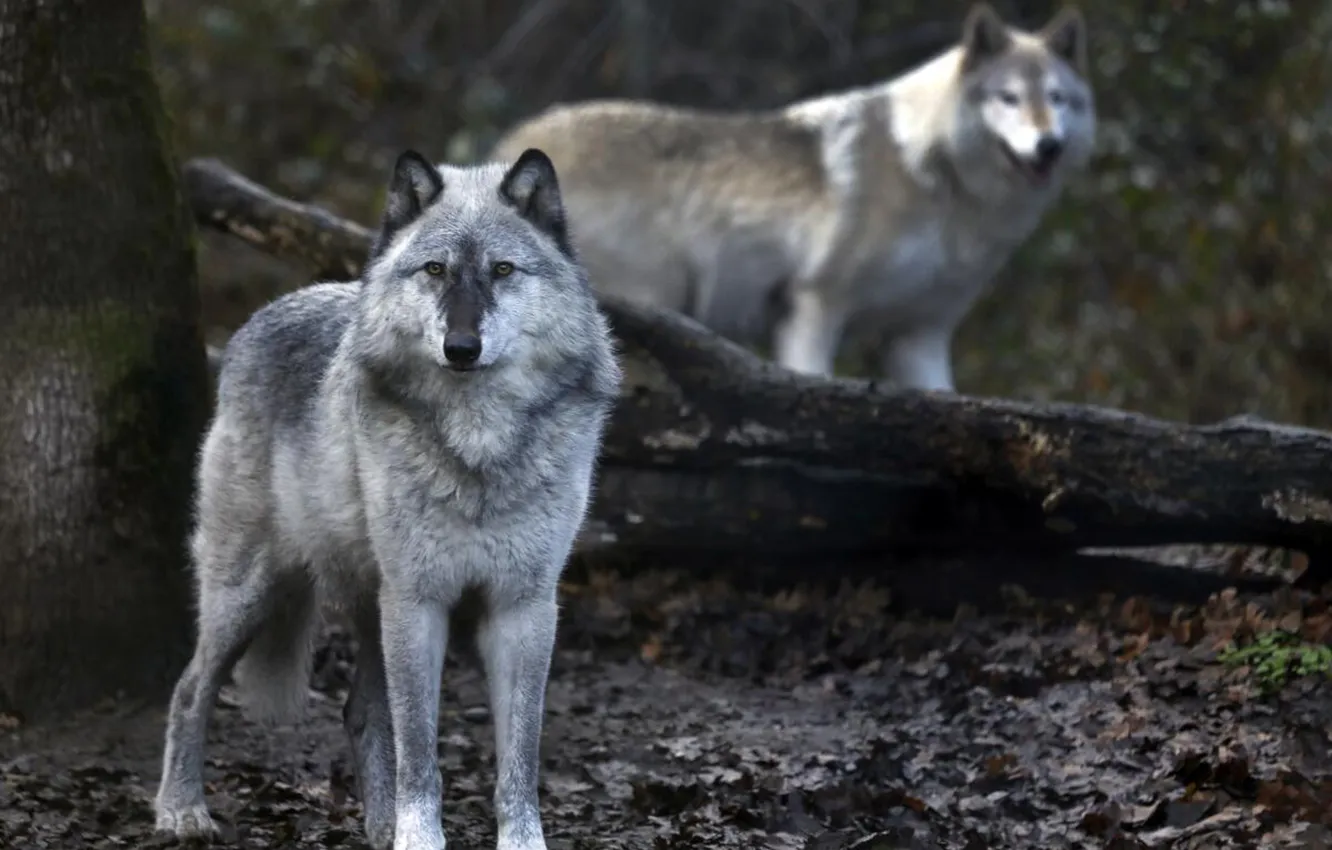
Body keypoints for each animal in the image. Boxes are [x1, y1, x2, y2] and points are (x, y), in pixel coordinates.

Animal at [152, 147, 621, 850]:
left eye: (502, 270)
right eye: (435, 270)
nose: (461, 348)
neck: (478, 448)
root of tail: (255, 320)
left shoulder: (524, 608)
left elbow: (519, 757)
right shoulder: (418, 601)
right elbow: (421, 751)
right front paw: (419, 838)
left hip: (366, 609)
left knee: (360, 712)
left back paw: (376, 827)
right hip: (251, 594)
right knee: (188, 690)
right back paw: (181, 810)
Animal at [488, 3, 1095, 391]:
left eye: (1058, 99)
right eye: (1008, 98)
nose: (1048, 145)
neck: (936, 175)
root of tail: (513, 143)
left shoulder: (920, 335)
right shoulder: (813, 306)